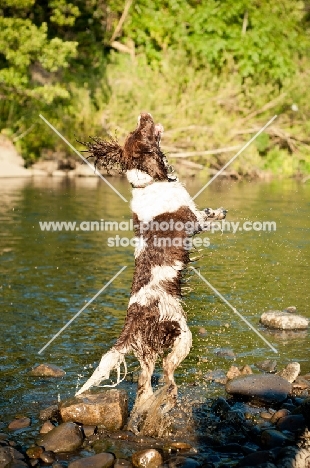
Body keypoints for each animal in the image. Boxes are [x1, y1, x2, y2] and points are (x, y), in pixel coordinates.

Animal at [75, 112, 225, 432]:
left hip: (147, 356)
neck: (149, 182)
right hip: (181, 337)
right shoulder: (194, 219)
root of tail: (132, 322)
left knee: (144, 391)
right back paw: (168, 403)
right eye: (143, 129)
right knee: (168, 378)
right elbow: (206, 216)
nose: (144, 114)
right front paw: (220, 212)